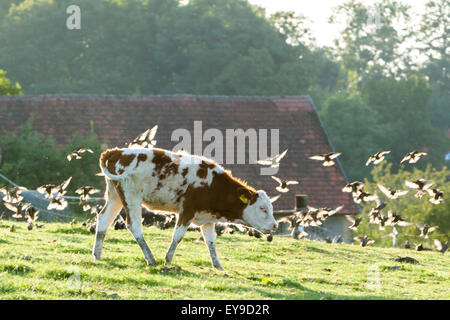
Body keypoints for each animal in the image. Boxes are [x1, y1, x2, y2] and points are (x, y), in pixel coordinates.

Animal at [93, 148, 278, 270]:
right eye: (262, 208)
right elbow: (178, 236)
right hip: (131, 196)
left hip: (115, 196)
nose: (275, 225)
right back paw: (150, 258)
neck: (212, 183)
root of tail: (115, 152)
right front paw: (168, 259)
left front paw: (218, 266)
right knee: (134, 226)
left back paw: (97, 255)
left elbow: (211, 242)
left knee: (103, 220)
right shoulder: (187, 210)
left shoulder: (207, 218)